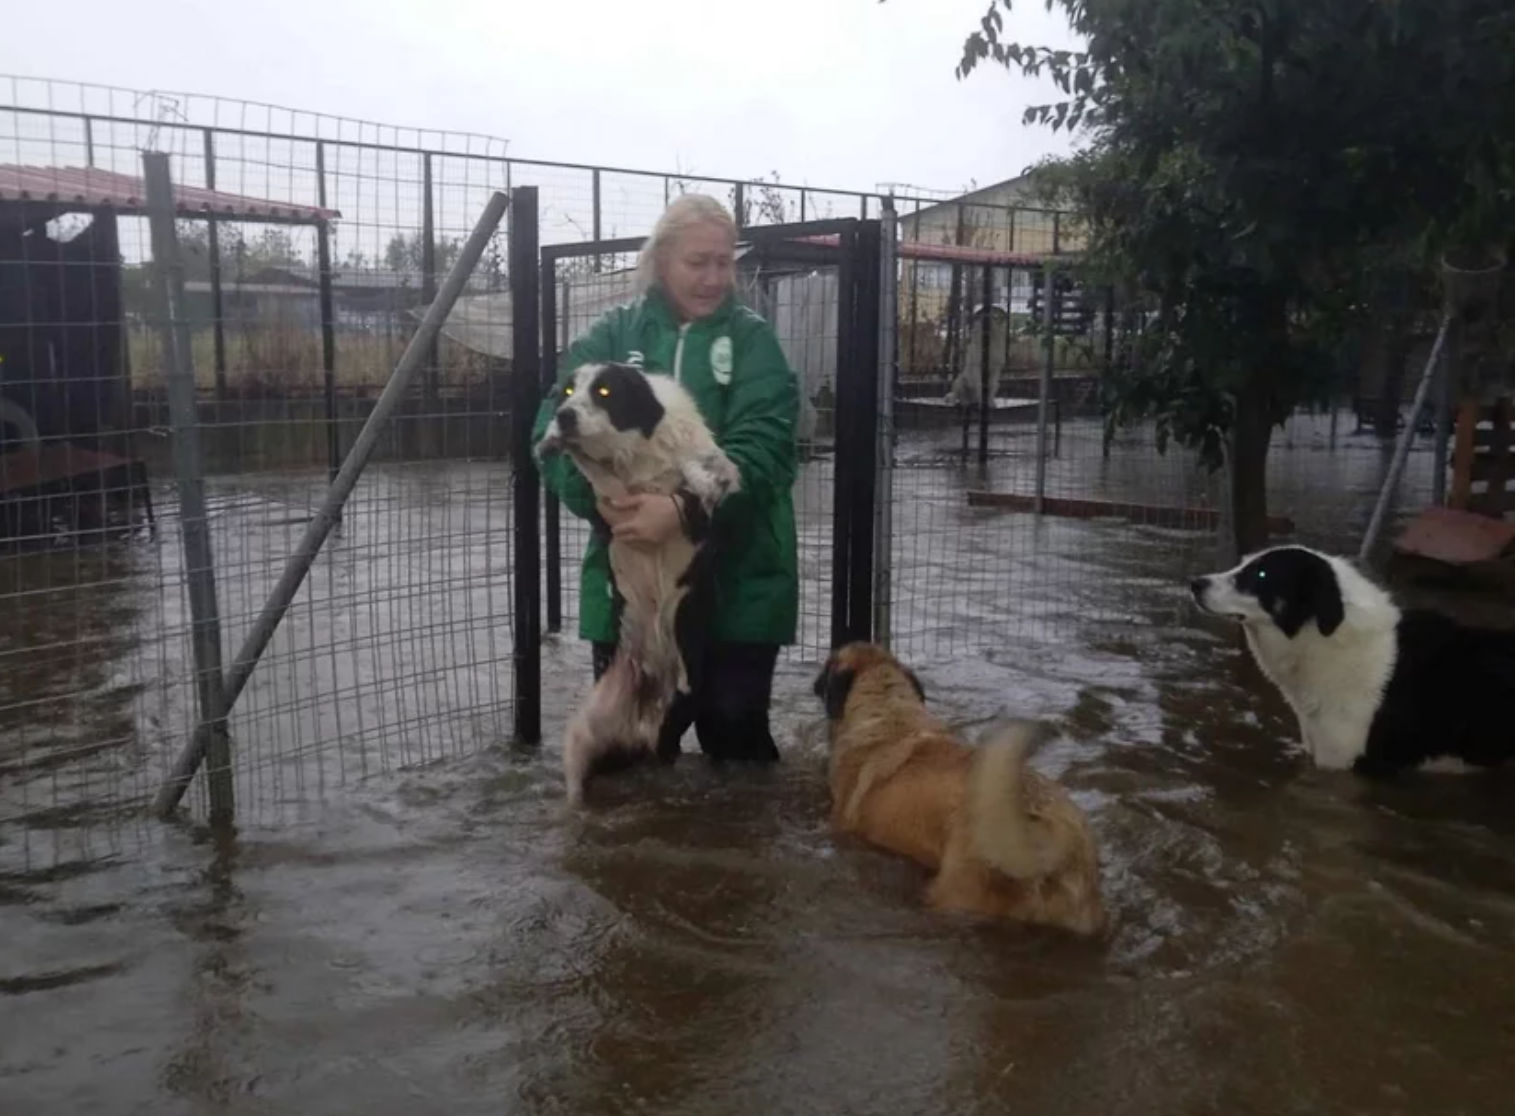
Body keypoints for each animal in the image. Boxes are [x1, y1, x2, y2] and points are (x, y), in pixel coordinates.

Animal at [534, 364, 741, 801]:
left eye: (605, 391)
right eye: (568, 391)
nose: (564, 416)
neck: (635, 455)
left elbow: (707, 465)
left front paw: (707, 483)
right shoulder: (607, 483)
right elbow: (593, 469)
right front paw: (552, 442)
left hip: (684, 691)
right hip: (584, 734)